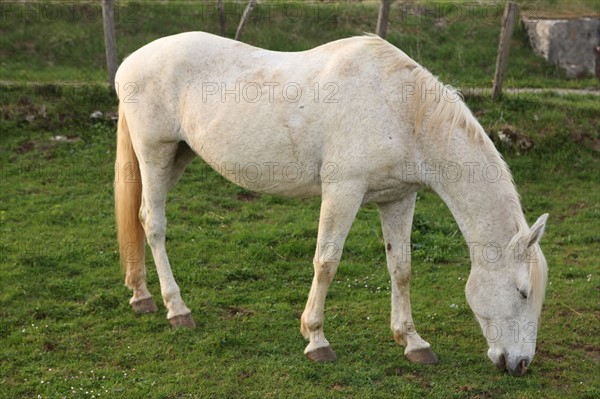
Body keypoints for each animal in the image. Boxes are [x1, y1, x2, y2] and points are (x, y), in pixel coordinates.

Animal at [113, 32, 548, 378]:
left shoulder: (398, 198)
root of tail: (129, 63)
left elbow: (401, 269)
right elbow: (327, 263)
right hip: (155, 153)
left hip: (178, 156)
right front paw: (316, 340)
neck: (404, 111)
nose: (521, 364)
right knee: (154, 223)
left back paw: (141, 296)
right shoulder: (343, 190)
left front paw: (413, 342)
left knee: (139, 218)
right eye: (523, 292)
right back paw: (177, 309)